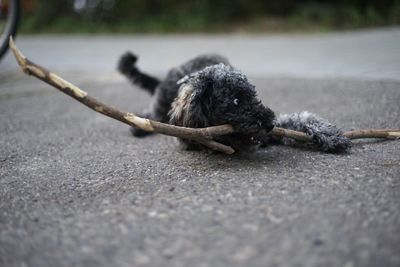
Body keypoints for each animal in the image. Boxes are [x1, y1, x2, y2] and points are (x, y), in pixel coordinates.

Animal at [118, 52, 350, 153]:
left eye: (254, 95)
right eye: (236, 100)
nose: (269, 124)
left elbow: (301, 118)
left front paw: (328, 134)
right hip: (159, 106)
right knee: (151, 114)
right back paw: (139, 126)